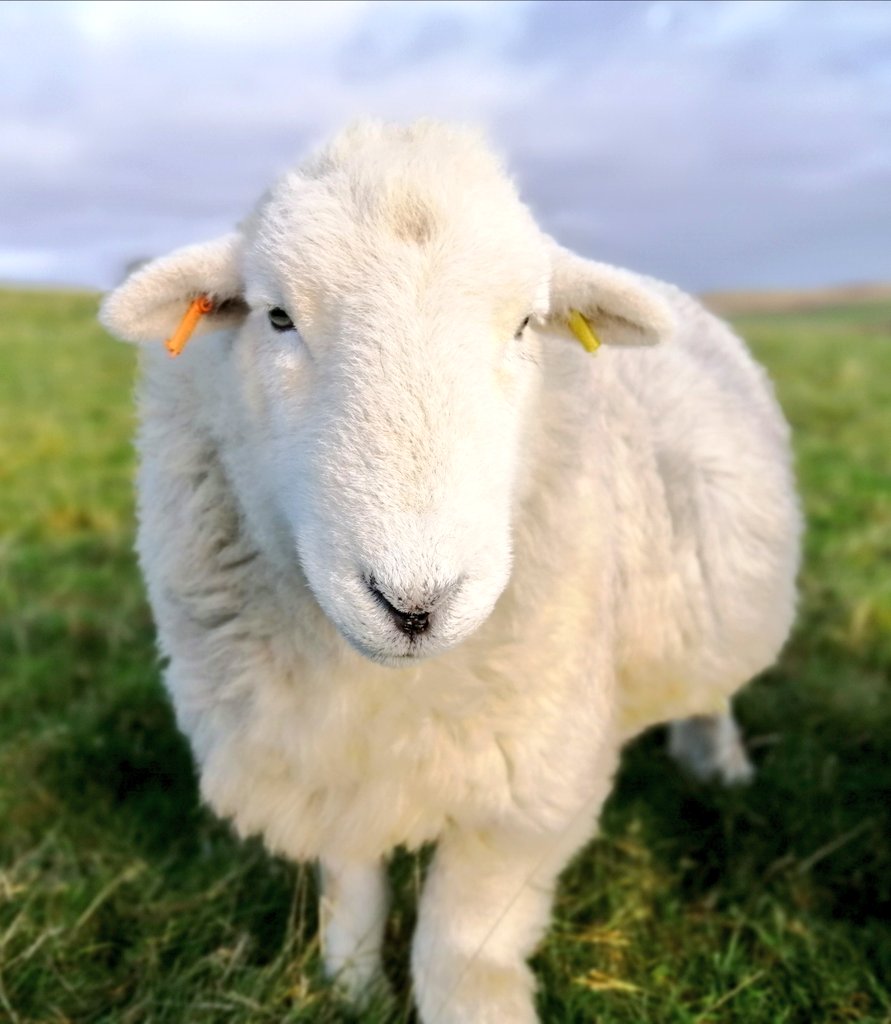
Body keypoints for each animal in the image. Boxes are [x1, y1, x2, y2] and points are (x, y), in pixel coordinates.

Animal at [100, 120, 800, 1023]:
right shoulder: (318, 755)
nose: (412, 604)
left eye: (527, 324)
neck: (380, 691)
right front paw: (352, 987)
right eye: (277, 317)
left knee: (710, 687)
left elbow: (460, 945)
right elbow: (350, 886)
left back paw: (718, 763)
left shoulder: (526, 784)